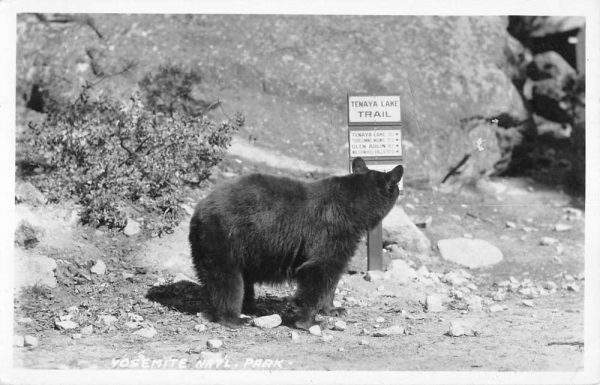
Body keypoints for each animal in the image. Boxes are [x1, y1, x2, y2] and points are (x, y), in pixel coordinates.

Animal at [188, 158, 404, 328]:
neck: (354, 209)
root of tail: (199, 209)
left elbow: (332, 275)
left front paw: (333, 309)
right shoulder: (330, 231)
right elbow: (317, 270)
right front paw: (309, 321)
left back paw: (249, 307)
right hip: (225, 238)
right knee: (226, 280)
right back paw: (235, 318)